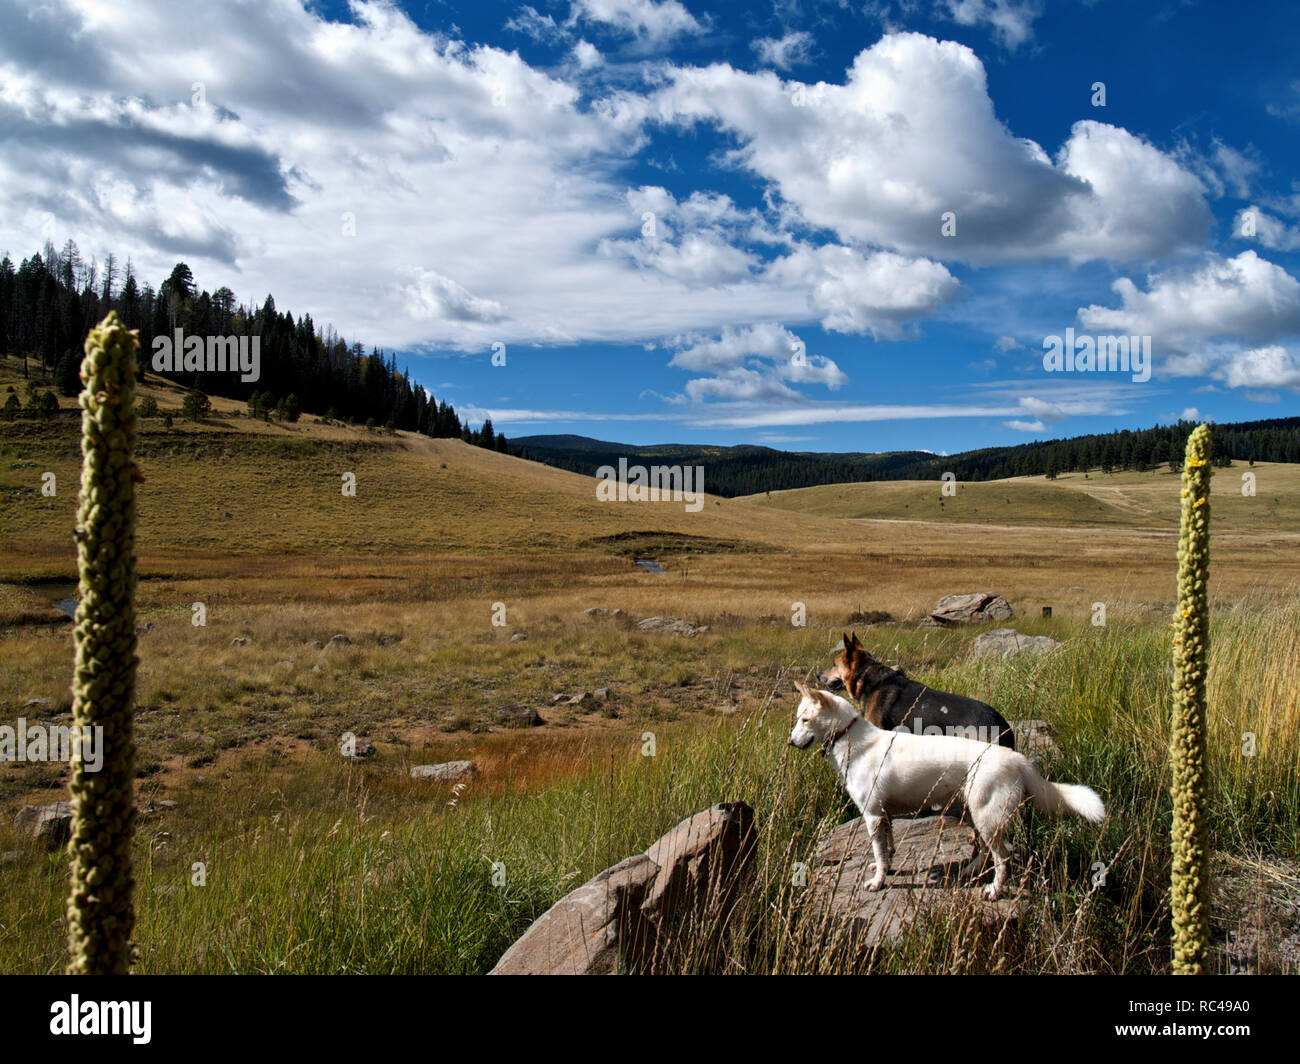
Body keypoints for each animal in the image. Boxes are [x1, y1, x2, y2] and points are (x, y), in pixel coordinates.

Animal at [785, 681, 1102, 894]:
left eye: (804, 720)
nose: (790, 742)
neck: (848, 736)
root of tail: (1016, 758)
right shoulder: (884, 816)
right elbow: (887, 851)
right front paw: (885, 869)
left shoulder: (873, 816)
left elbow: (879, 851)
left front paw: (878, 882)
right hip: (975, 813)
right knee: (987, 852)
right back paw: (971, 871)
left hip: (987, 817)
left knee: (1003, 856)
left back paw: (994, 890)